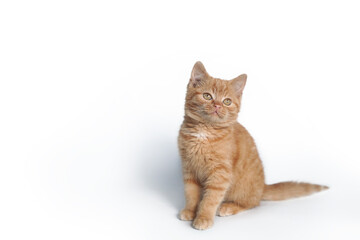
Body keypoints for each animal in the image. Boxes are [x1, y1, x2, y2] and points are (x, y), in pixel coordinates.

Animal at [178, 61, 330, 230]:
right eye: (207, 96)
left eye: (227, 101)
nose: (217, 106)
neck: (204, 132)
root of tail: (263, 187)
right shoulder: (189, 168)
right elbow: (191, 193)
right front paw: (190, 211)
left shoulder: (220, 174)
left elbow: (211, 198)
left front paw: (203, 217)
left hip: (243, 187)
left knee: (251, 203)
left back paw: (228, 207)